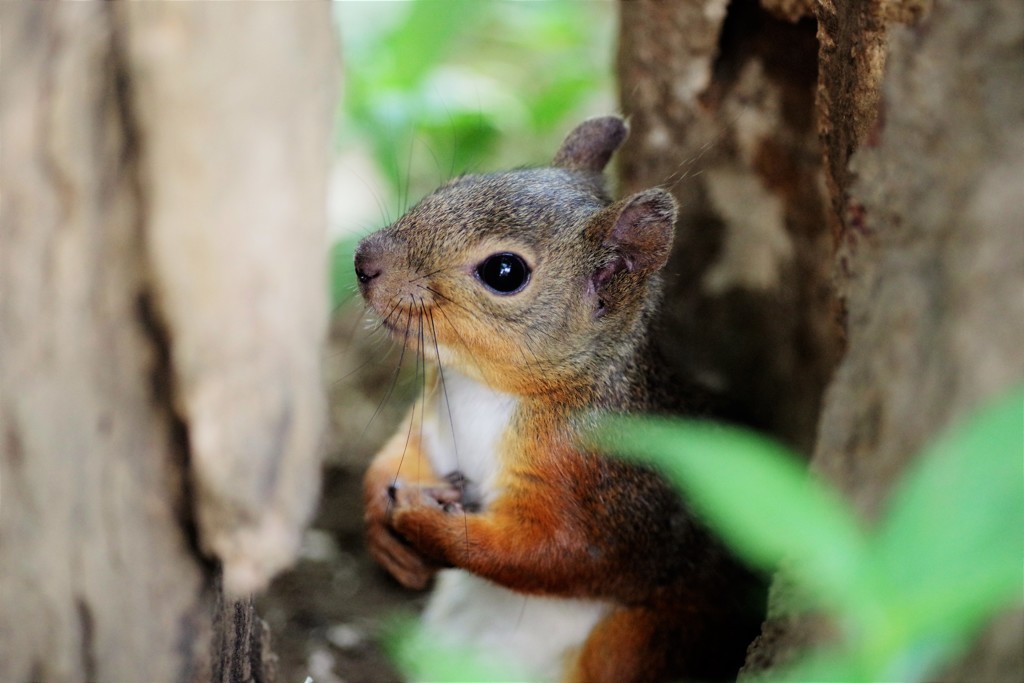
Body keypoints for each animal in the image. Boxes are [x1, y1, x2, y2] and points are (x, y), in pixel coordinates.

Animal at [356, 117, 765, 683]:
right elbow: (397, 454)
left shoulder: (599, 492)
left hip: (634, 640)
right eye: (454, 184)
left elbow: (550, 558)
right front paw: (382, 524)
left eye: (504, 272)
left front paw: (426, 526)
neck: (489, 390)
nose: (363, 260)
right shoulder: (432, 422)